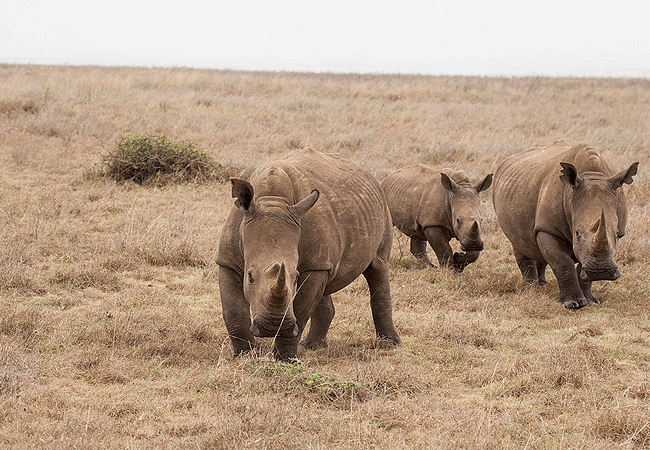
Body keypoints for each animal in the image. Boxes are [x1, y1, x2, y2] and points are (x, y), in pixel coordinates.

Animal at [218, 149, 400, 360]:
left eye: (296, 278)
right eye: (250, 277)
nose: (271, 327)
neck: (273, 201)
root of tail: (369, 176)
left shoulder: (314, 266)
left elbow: (301, 310)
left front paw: (284, 358)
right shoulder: (227, 261)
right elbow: (233, 311)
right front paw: (245, 355)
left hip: (383, 210)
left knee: (378, 268)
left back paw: (390, 344)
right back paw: (313, 346)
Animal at [492, 143, 636, 310]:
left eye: (617, 234)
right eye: (577, 233)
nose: (601, 271)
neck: (592, 175)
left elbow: (581, 266)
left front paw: (590, 301)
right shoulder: (548, 229)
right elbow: (562, 263)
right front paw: (572, 304)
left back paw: (542, 285)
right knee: (520, 242)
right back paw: (531, 289)